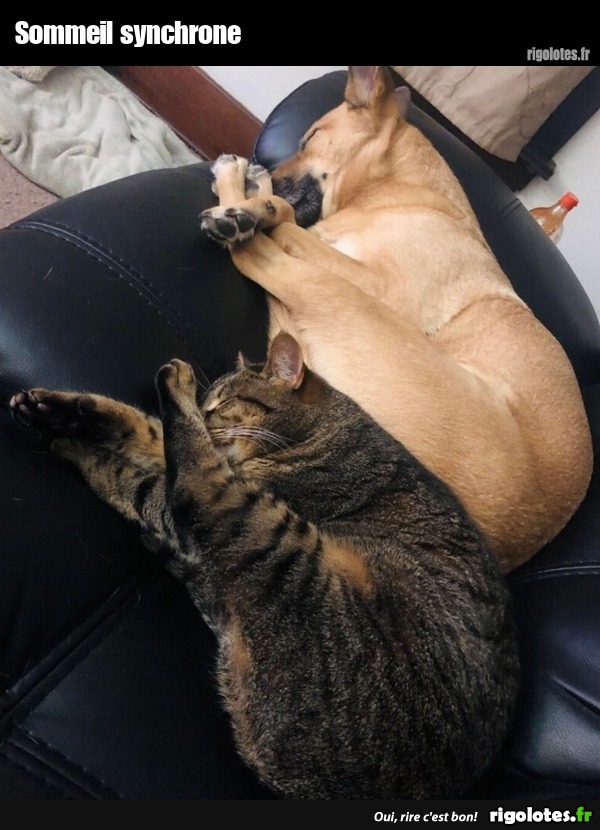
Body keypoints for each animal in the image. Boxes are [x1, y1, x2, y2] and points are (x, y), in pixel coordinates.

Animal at [9, 331, 520, 799]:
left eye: (224, 403)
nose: (205, 412)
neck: (318, 429)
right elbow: (145, 431)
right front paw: (58, 411)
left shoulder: (205, 496)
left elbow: (150, 470)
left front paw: (76, 439)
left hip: (274, 539)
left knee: (191, 481)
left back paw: (135, 409)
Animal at [200, 65, 592, 572]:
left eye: (310, 137)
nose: (262, 166)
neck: (406, 197)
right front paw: (254, 192)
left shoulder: (369, 281)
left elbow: (290, 224)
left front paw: (251, 198)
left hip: (341, 297)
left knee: (259, 251)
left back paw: (240, 208)